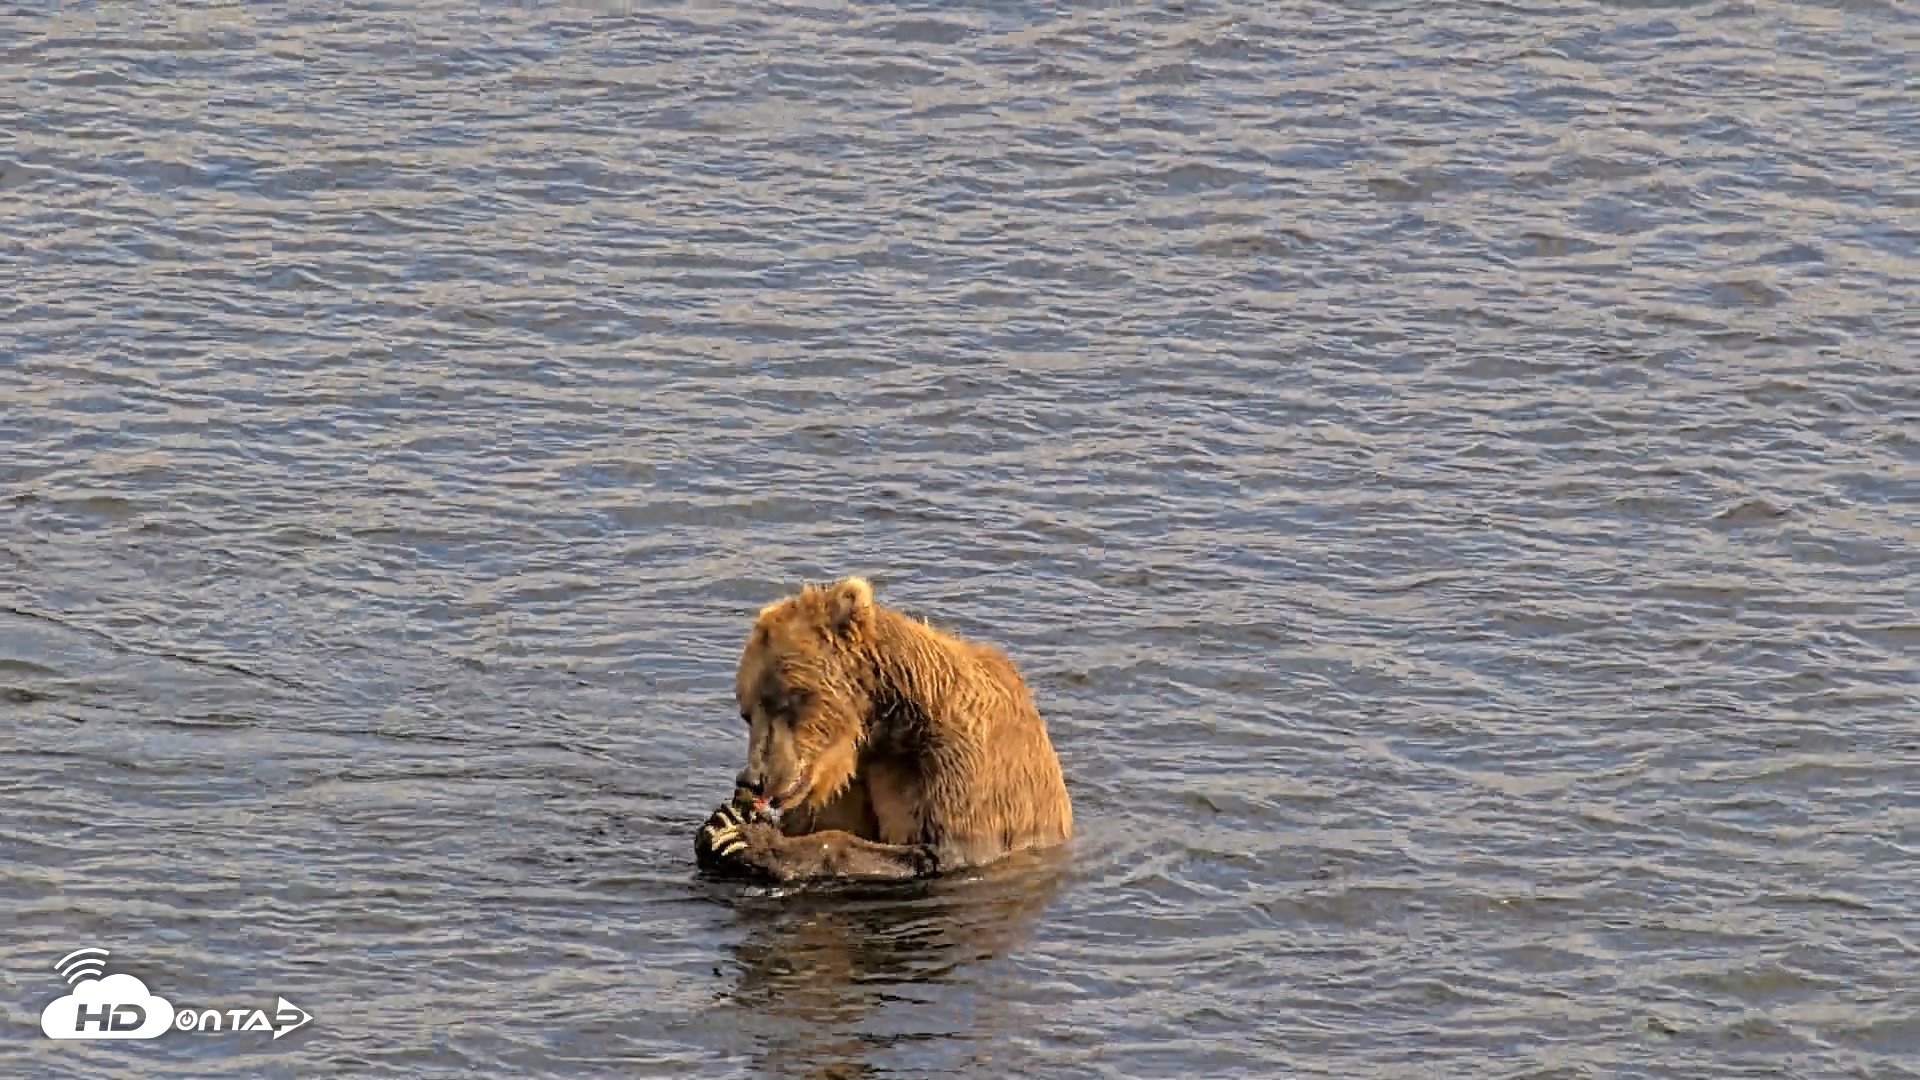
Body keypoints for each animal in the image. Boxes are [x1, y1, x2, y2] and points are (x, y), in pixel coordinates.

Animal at [695, 576, 1072, 882]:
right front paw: (719, 824)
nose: (752, 779)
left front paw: (747, 839)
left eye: (784, 701)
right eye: (746, 712)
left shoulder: (963, 768)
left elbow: (938, 851)